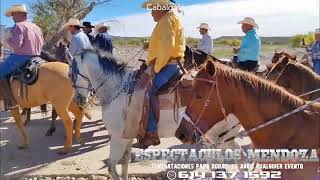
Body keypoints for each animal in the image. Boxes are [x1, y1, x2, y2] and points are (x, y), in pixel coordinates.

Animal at [70, 49, 249, 180]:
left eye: (72, 71)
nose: (79, 100)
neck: (118, 88)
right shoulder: (127, 137)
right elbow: (125, 163)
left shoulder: (117, 138)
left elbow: (112, 167)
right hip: (225, 136)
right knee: (240, 159)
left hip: (213, 137)